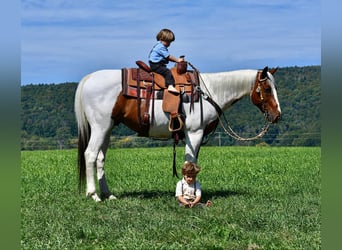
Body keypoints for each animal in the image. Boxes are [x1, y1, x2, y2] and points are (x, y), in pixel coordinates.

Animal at [75, 63, 280, 202]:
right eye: (267, 89)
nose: (277, 115)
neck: (210, 92)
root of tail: (88, 79)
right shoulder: (194, 133)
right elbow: (190, 161)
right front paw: (189, 192)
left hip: (108, 128)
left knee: (100, 158)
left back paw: (108, 194)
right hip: (100, 127)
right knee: (90, 155)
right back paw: (93, 195)